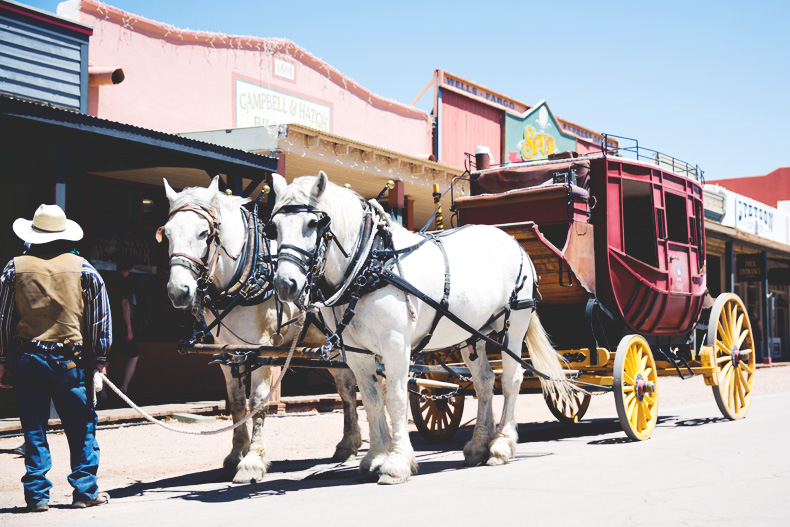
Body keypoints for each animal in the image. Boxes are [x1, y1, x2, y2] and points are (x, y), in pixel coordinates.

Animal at [160, 176, 362, 482]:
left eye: (204, 234)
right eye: (167, 233)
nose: (179, 292)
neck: (248, 271)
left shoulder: (263, 349)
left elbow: (257, 402)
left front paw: (253, 460)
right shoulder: (229, 352)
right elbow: (236, 403)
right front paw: (236, 453)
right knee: (348, 389)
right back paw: (348, 444)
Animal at [270, 171, 576, 484]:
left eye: (312, 224)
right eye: (274, 227)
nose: (284, 284)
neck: (369, 264)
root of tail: (513, 241)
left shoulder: (395, 346)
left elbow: (395, 400)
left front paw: (397, 463)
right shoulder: (356, 353)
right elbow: (371, 401)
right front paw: (375, 457)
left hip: (514, 323)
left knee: (512, 379)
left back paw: (501, 444)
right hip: (473, 334)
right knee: (485, 382)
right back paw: (479, 444)